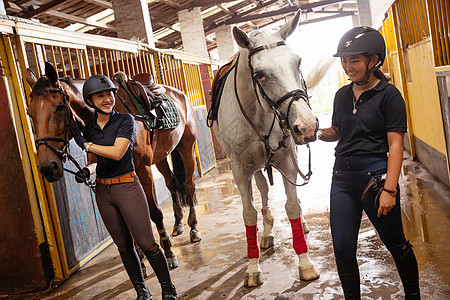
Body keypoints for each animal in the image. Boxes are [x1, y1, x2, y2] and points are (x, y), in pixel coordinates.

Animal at [211, 11, 320, 288]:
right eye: (259, 74)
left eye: (298, 62)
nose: (306, 126)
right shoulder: (240, 170)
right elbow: (249, 215)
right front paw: (252, 267)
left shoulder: (287, 162)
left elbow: (292, 207)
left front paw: (305, 264)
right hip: (256, 167)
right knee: (262, 189)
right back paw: (267, 231)